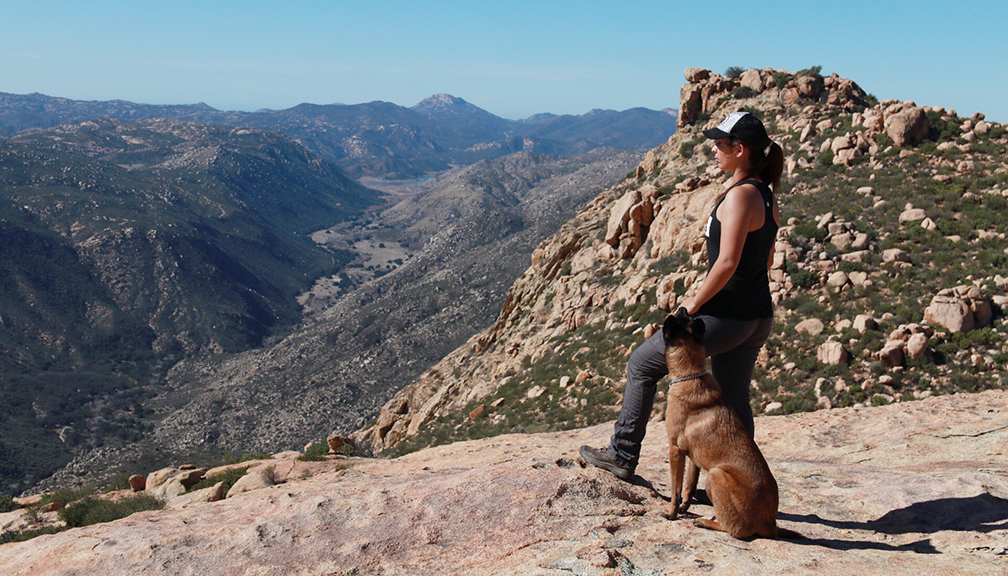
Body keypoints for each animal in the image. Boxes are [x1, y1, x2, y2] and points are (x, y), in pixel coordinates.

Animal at [661, 310, 778, 540]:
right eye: (686, 318)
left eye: (679, 318)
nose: (684, 309)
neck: (689, 374)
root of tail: (770, 525)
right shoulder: (693, 457)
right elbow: (689, 485)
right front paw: (684, 508)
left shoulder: (675, 449)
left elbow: (675, 490)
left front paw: (671, 514)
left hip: (716, 474)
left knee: (735, 529)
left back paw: (707, 522)